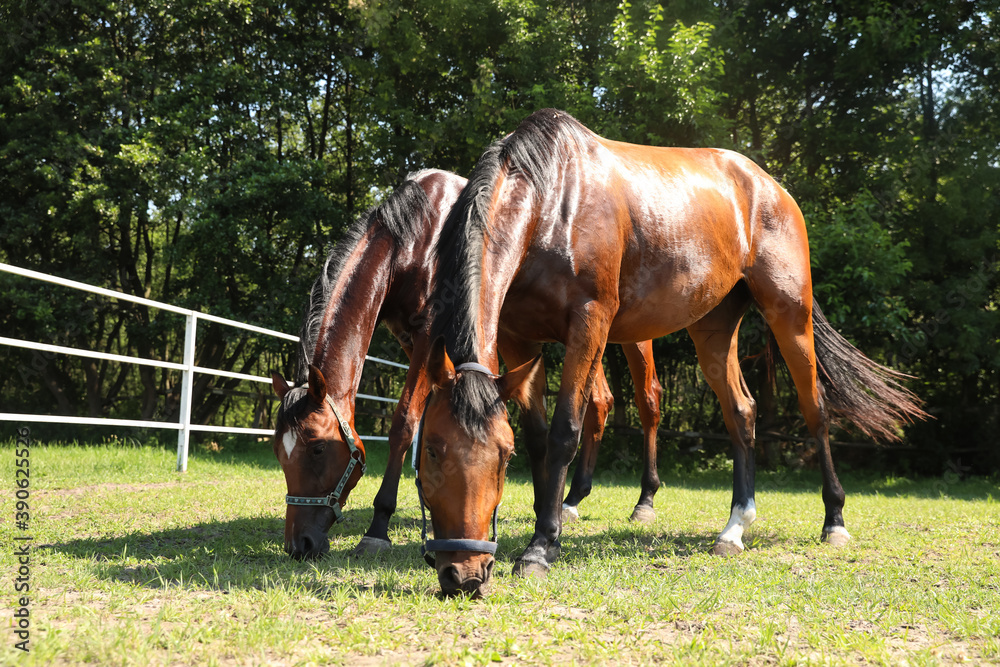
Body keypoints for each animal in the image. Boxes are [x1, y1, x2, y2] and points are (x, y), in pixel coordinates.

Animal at [270, 168, 663, 562]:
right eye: (278, 452)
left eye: (318, 448)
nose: (299, 543)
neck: (414, 236)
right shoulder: (419, 343)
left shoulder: (430, 334)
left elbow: (404, 423)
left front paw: (379, 527)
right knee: (600, 401)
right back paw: (570, 500)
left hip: (631, 337)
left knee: (648, 403)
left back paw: (644, 500)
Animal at [417, 108, 927, 596]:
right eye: (432, 451)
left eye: (502, 457)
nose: (464, 574)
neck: (552, 203)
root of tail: (770, 186)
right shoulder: (517, 340)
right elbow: (540, 438)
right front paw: (547, 522)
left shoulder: (589, 323)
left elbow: (564, 432)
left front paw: (542, 547)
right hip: (714, 329)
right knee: (741, 411)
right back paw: (734, 528)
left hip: (790, 315)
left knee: (815, 408)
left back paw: (833, 521)